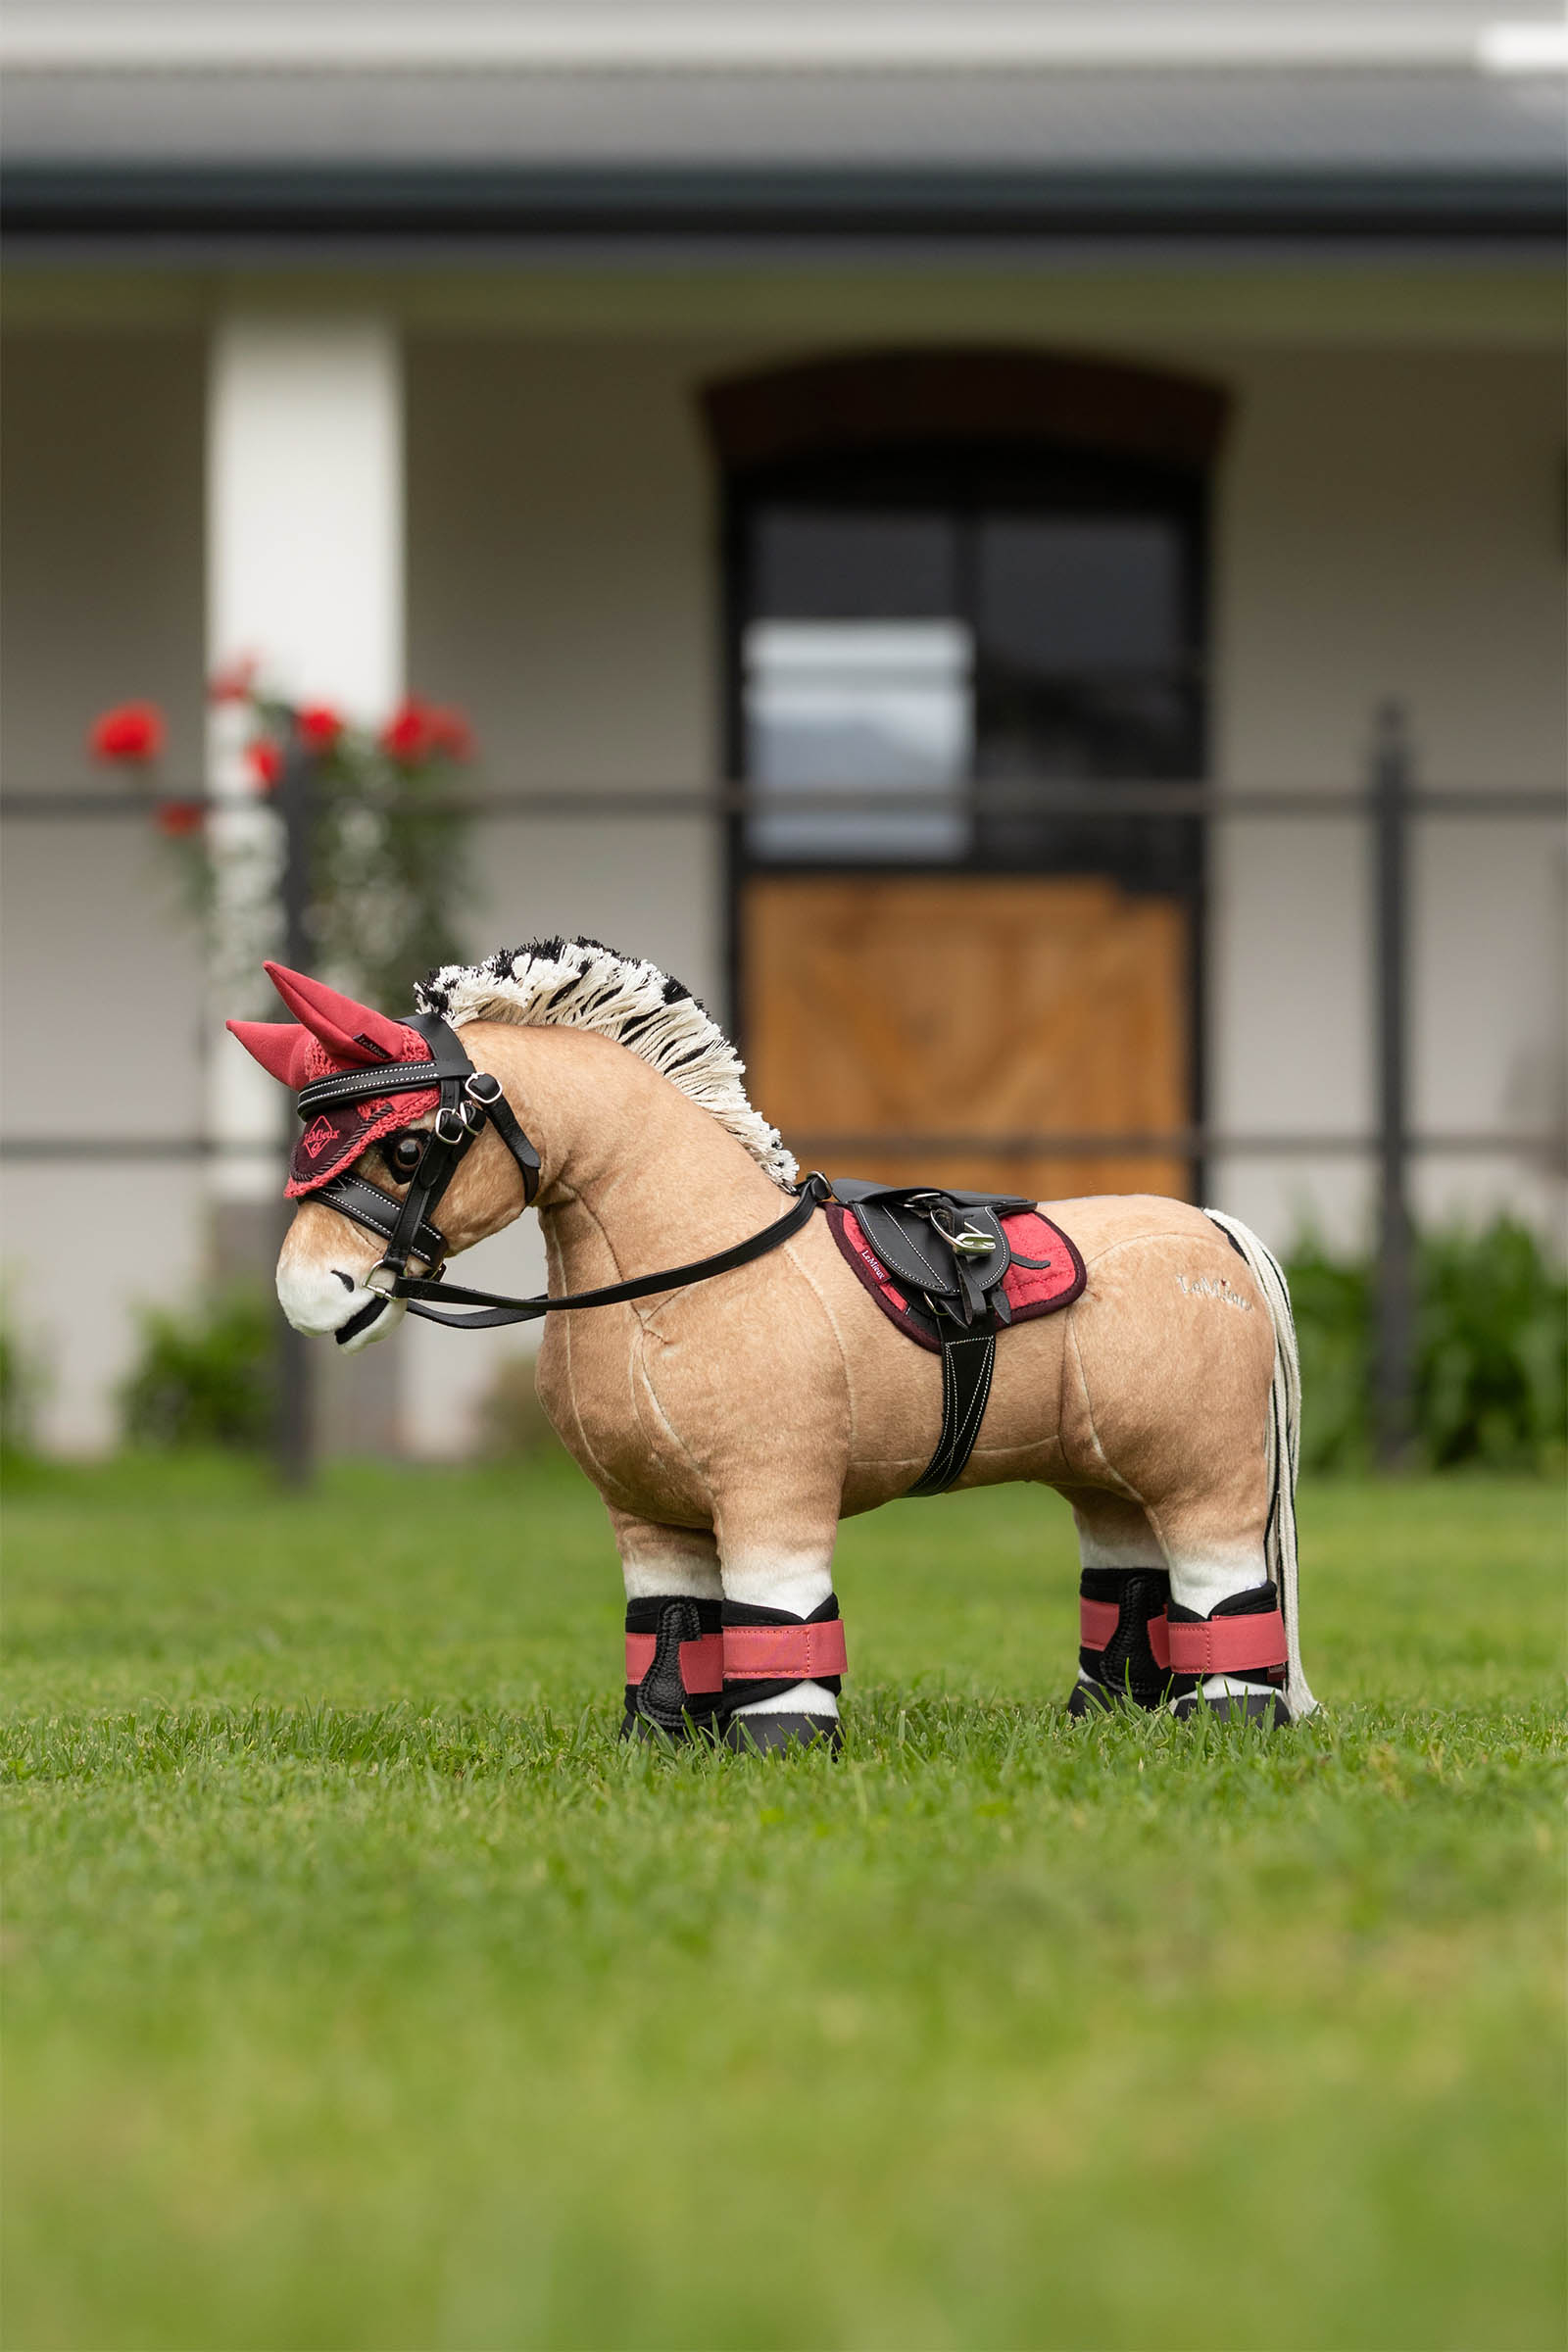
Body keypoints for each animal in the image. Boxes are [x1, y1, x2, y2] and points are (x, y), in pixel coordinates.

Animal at [230, 935, 1316, 1752]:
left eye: (410, 1145)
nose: (308, 1294)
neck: (677, 1280)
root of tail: (1215, 1230)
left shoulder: (773, 1492)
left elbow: (778, 1621)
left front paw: (780, 1749)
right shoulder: (647, 1514)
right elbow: (668, 1625)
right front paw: (662, 1743)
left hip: (1208, 1473)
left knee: (1222, 1585)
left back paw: (1228, 1726)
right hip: (1106, 1473)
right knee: (1127, 1578)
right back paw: (1104, 1721)